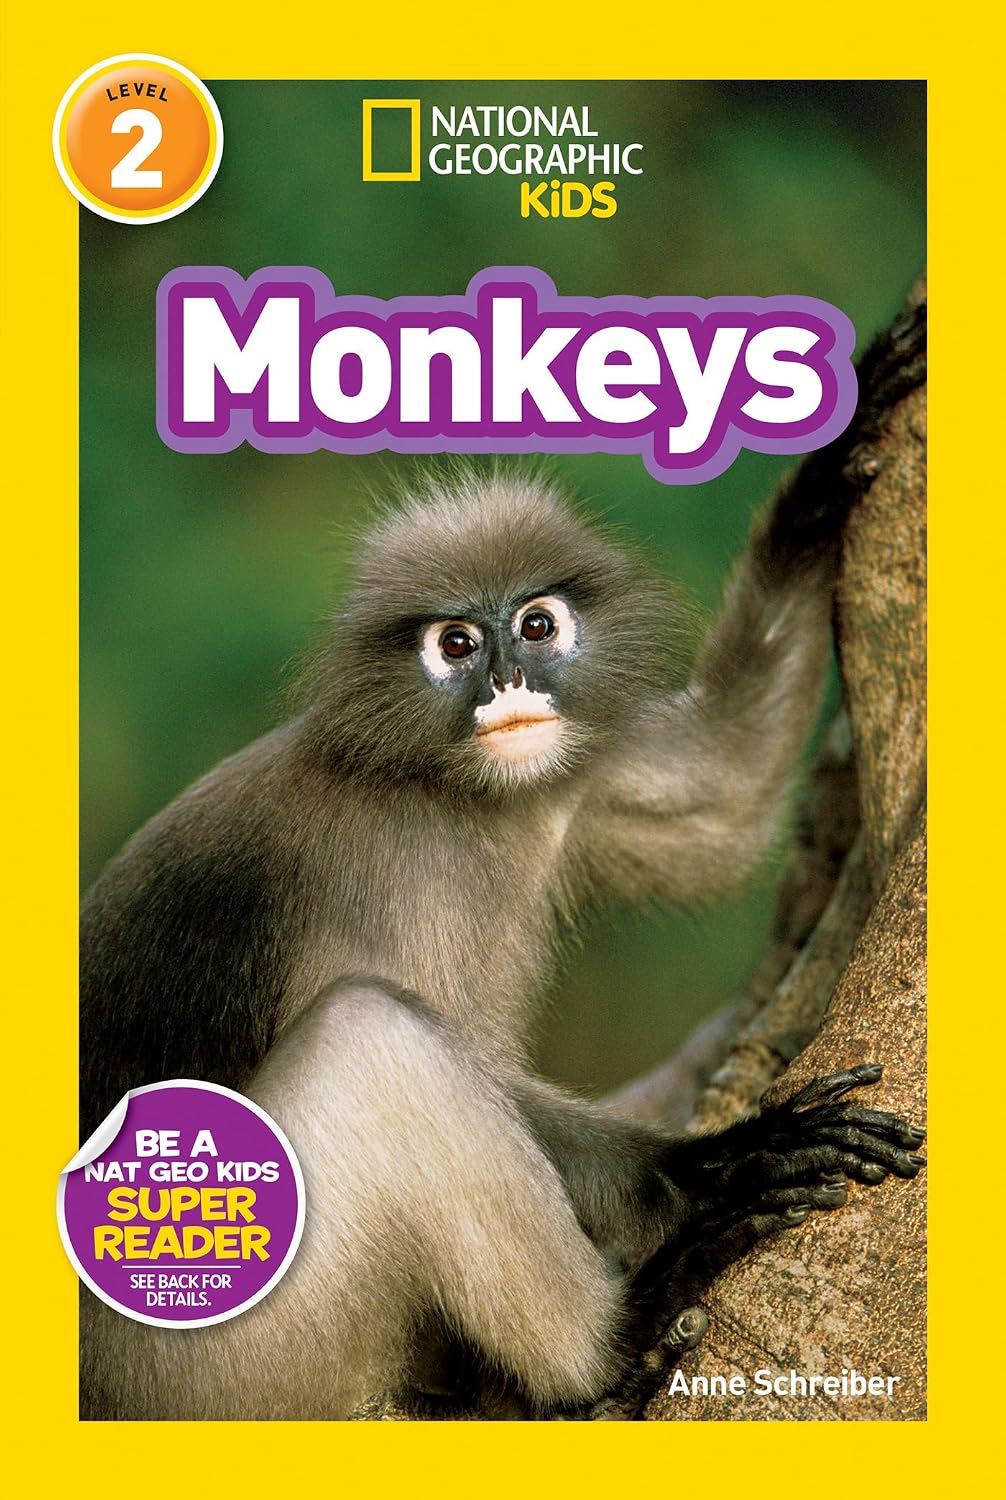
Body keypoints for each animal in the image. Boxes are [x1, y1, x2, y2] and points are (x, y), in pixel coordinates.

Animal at [79, 301, 927, 1422]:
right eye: (455, 643)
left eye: (534, 624)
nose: (509, 683)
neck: (455, 799)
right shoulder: (382, 882)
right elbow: (465, 1062)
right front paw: (711, 1169)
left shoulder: (568, 779)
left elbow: (724, 793)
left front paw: (830, 466)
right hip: (224, 1359)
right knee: (375, 1041)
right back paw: (607, 1350)